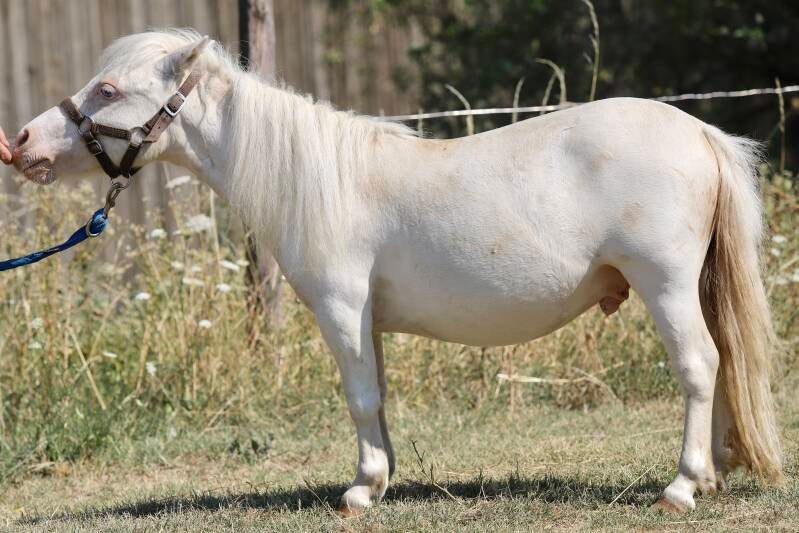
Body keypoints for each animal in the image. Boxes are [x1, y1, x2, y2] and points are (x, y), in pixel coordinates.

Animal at [10, 29, 781, 514]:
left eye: (108, 89)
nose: (17, 142)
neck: (319, 177)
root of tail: (697, 130)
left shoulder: (341, 309)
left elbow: (359, 398)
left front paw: (359, 491)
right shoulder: (366, 320)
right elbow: (376, 397)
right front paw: (380, 479)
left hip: (665, 284)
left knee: (698, 364)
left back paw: (681, 486)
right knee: (721, 360)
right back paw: (714, 472)